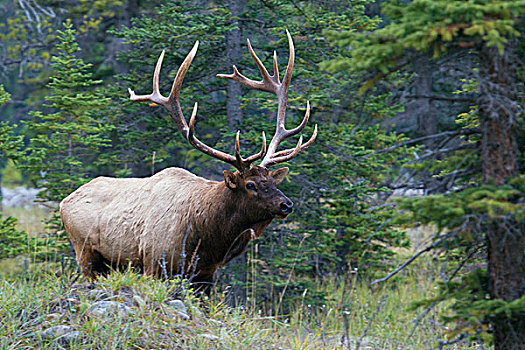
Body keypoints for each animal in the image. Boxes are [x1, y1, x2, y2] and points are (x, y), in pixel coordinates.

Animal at [60, 31, 316, 288]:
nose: (286, 204)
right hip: (85, 253)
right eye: (250, 185)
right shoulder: (155, 262)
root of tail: (64, 202)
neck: (207, 238)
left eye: (273, 182)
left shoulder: (205, 275)